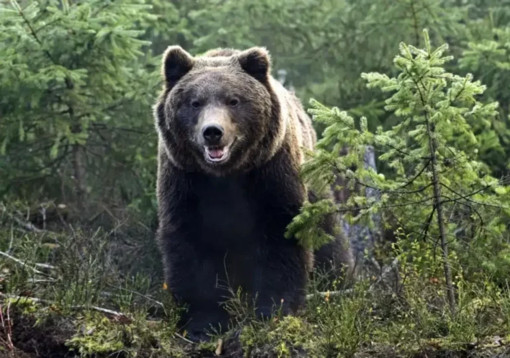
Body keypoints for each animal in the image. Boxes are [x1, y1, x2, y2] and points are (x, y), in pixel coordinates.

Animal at [153, 45, 352, 342]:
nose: (213, 132)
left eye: (233, 100)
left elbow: (281, 236)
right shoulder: (185, 182)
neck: (226, 175)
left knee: (329, 238)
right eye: (195, 102)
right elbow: (191, 246)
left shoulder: (271, 174)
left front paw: (272, 311)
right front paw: (203, 323)